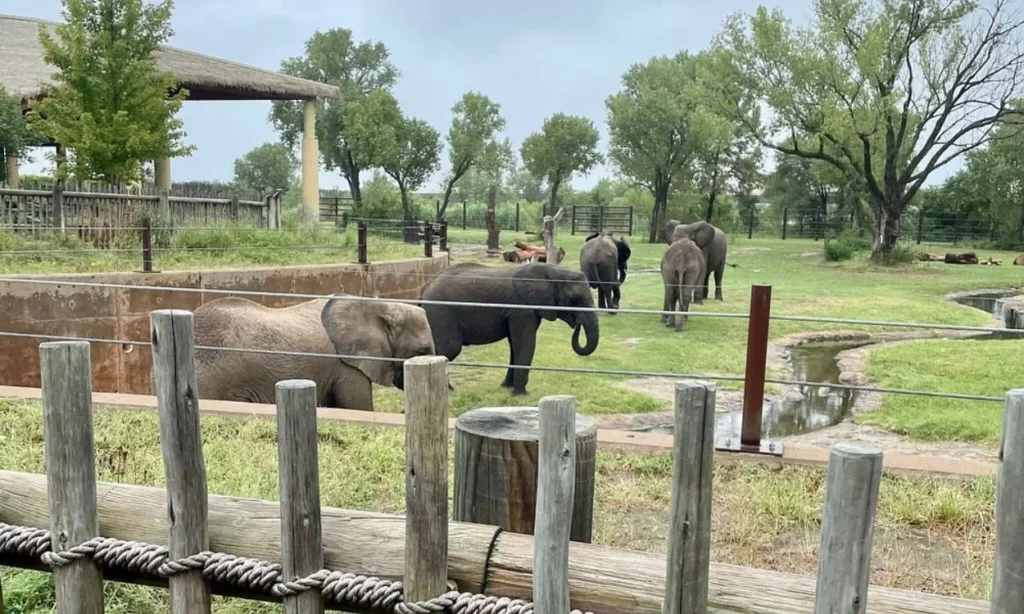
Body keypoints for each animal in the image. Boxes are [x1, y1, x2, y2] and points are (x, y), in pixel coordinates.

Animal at [419, 262, 600, 396]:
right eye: (575, 300)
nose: (578, 323)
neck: (554, 271)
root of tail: (424, 288)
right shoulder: (522, 309)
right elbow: (525, 343)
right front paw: (521, 395)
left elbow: (515, 345)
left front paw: (506, 387)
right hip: (441, 312)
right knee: (449, 348)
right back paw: (446, 390)